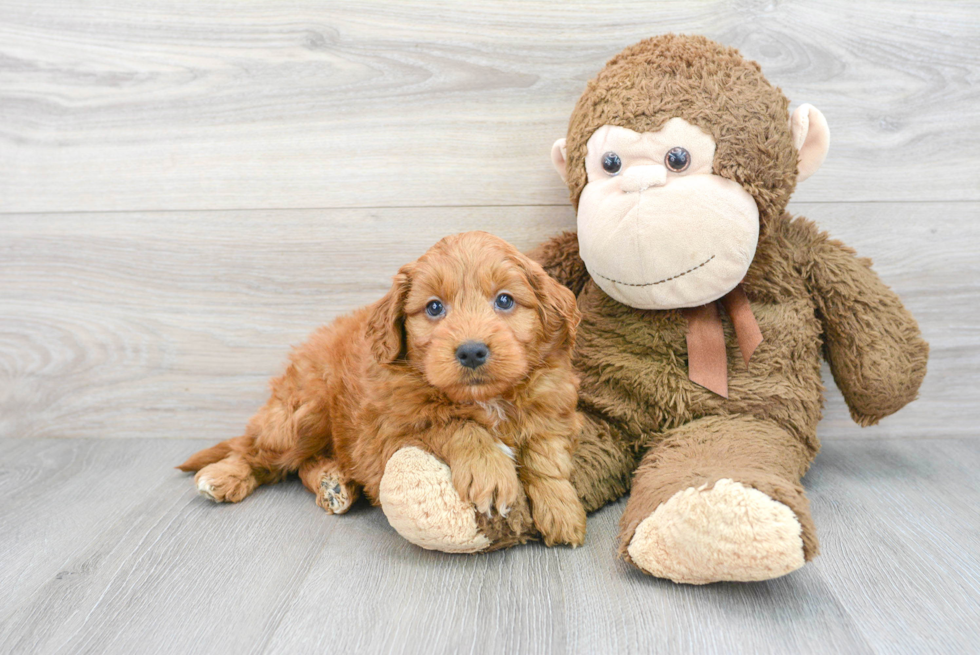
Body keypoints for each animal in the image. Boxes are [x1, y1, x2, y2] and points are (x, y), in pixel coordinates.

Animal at [179, 231, 584, 548]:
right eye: (434, 308)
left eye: (504, 300)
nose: (471, 351)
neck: (485, 399)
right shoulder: (386, 435)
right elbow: (452, 424)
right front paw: (491, 471)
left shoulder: (551, 409)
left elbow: (546, 458)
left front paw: (562, 510)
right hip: (304, 412)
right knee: (255, 450)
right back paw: (225, 475)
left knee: (303, 463)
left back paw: (332, 484)